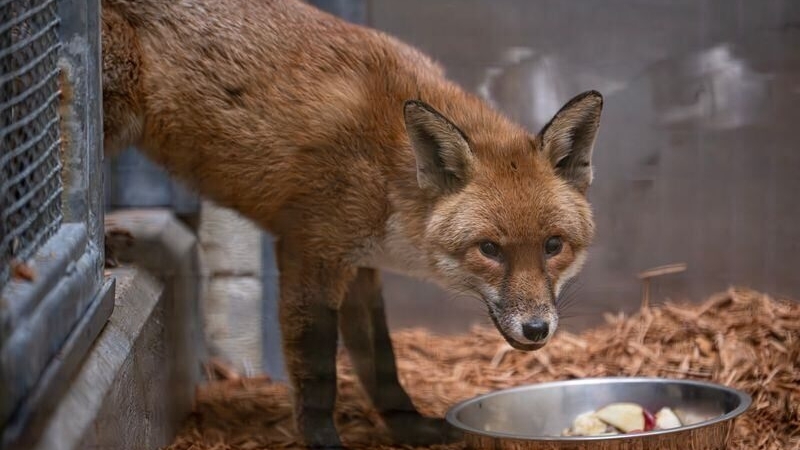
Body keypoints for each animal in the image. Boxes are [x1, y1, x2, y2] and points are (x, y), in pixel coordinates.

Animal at [100, 0, 603, 447]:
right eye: (490, 249)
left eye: (553, 245)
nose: (537, 329)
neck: (388, 172)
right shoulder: (310, 251)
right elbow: (318, 370)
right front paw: (324, 440)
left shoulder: (361, 266)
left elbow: (381, 363)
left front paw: (410, 429)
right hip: (115, 107)